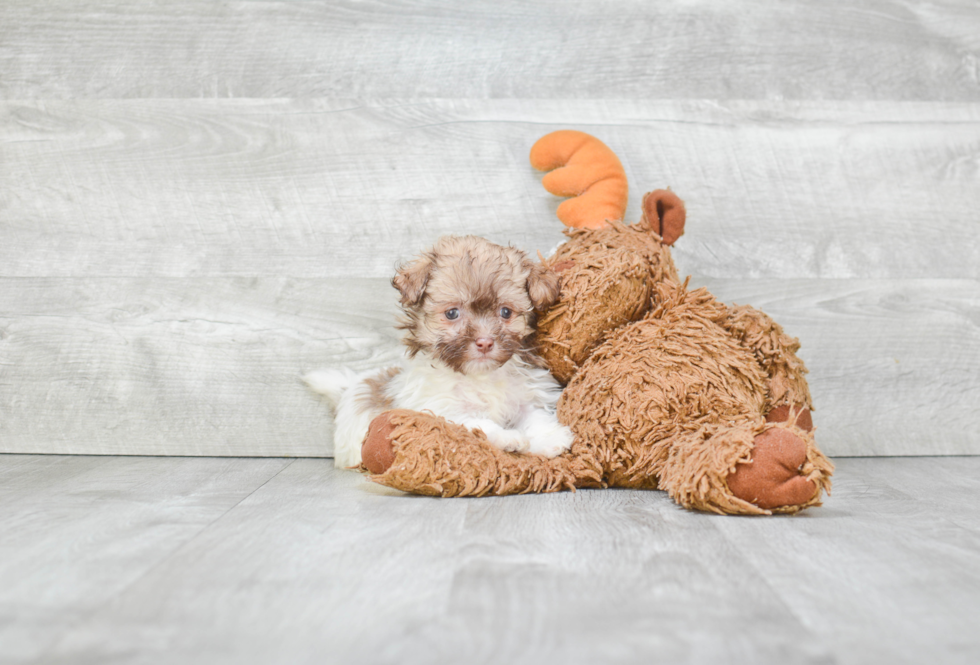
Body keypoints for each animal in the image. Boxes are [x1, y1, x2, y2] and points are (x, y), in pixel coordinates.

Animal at [302, 233, 572, 466]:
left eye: (506, 312)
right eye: (452, 313)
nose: (485, 342)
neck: (480, 376)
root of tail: (350, 387)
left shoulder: (527, 396)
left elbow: (535, 415)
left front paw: (551, 439)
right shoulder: (440, 410)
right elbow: (477, 423)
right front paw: (508, 438)